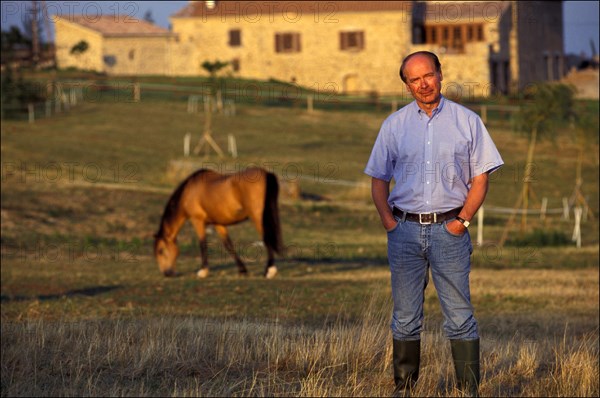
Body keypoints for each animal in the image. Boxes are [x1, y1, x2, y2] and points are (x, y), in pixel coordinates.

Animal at [155, 168, 286, 280]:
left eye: (161, 250)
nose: (166, 273)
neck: (189, 191)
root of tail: (266, 173)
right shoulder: (218, 223)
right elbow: (228, 245)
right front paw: (242, 270)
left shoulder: (197, 221)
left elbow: (202, 243)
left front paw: (203, 271)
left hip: (257, 217)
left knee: (266, 238)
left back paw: (269, 271)